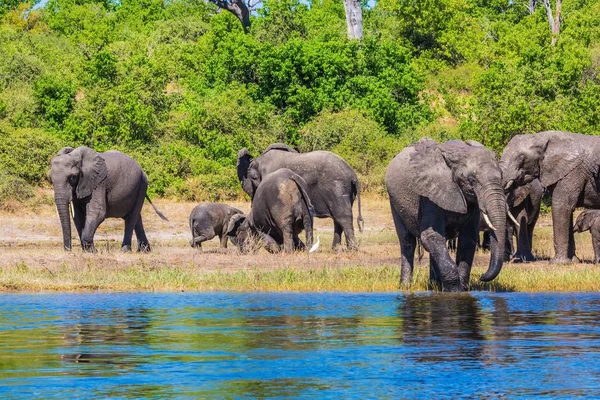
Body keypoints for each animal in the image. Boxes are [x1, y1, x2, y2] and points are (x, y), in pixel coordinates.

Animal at [386, 139, 508, 292]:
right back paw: (406, 286)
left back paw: (434, 286)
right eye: (471, 180)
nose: (481, 276)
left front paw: (461, 289)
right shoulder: (429, 196)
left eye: (502, 177)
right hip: (394, 201)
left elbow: (467, 239)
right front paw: (455, 292)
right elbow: (430, 236)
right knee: (407, 241)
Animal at [500, 130, 600, 264]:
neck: (542, 138)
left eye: (521, 157)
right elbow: (567, 209)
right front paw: (573, 261)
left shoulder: (572, 172)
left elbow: (560, 206)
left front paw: (558, 263)